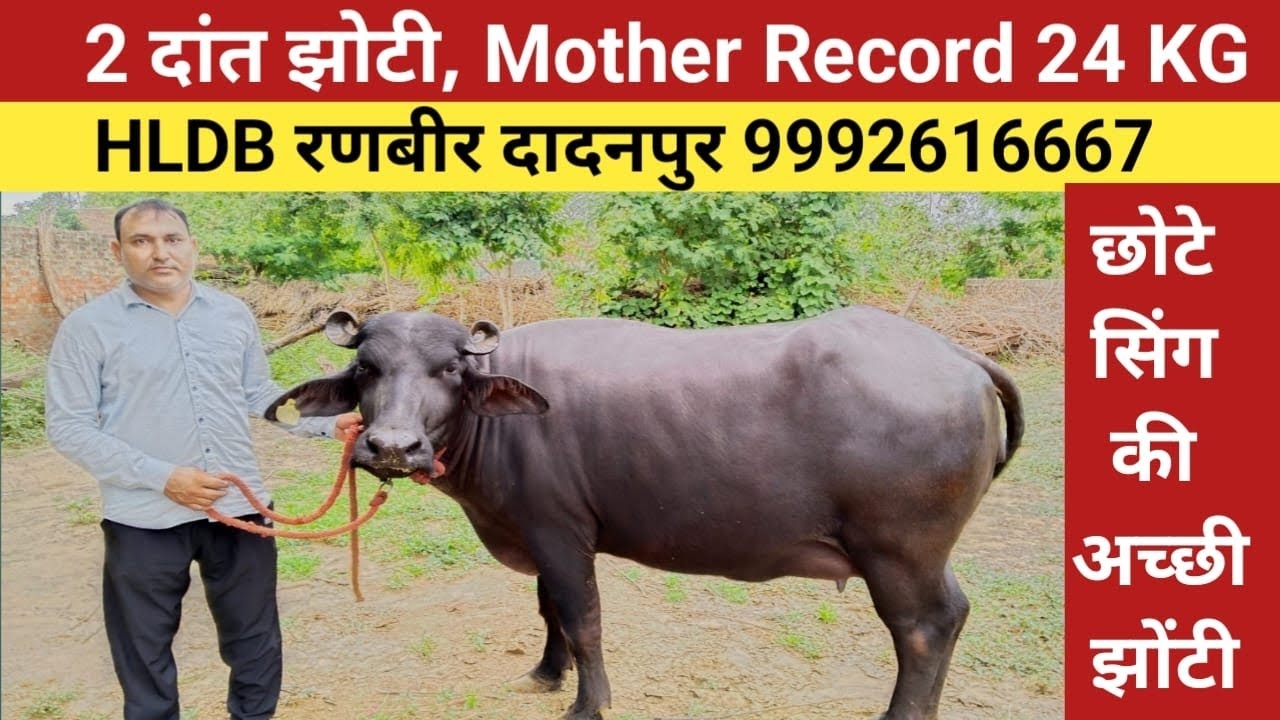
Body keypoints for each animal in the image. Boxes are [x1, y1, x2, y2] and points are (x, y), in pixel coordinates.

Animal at [267, 306, 1023, 720]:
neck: (503, 423)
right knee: (952, 615)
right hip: (921, 556)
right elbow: (549, 611)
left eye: (450, 370)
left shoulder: (560, 533)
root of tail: (955, 353)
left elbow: (583, 620)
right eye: (366, 369)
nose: (393, 446)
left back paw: (899, 712)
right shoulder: (544, 536)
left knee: (924, 629)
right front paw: (547, 674)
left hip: (899, 552)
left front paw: (587, 703)